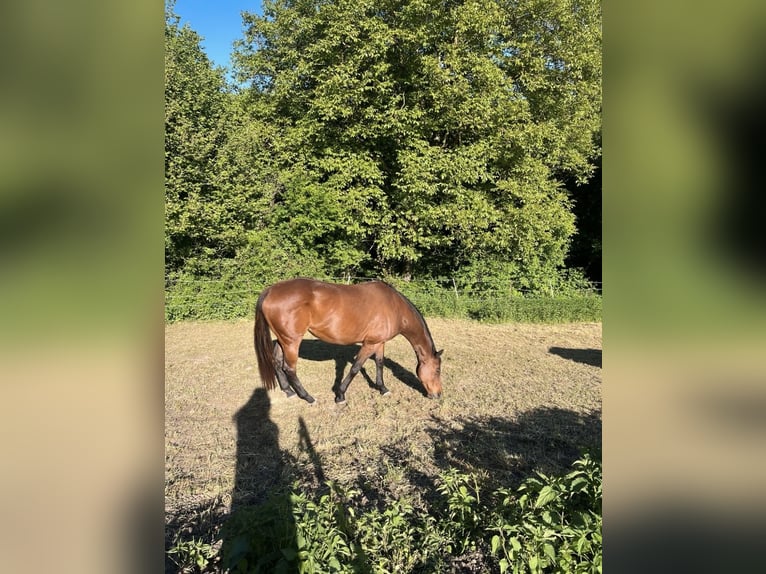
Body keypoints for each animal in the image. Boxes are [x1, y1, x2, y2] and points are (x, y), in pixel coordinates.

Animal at [254, 278, 443, 404]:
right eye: (437, 370)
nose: (438, 394)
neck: (394, 306)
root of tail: (271, 290)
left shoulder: (379, 342)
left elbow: (379, 364)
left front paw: (382, 389)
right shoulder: (370, 343)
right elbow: (355, 368)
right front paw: (340, 395)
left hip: (284, 339)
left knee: (277, 360)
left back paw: (288, 391)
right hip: (292, 341)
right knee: (290, 368)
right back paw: (308, 397)